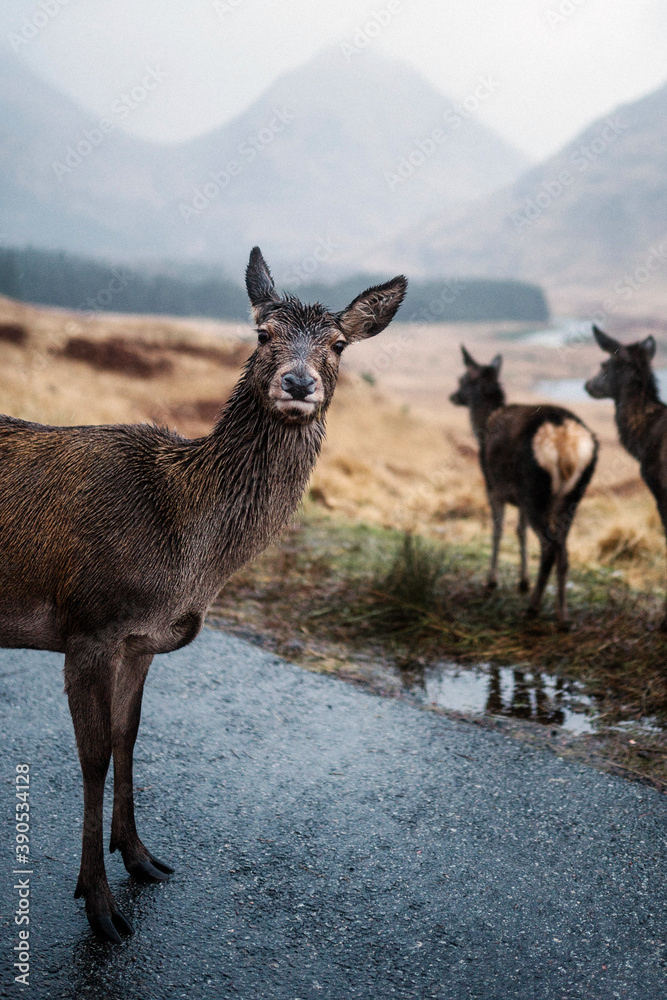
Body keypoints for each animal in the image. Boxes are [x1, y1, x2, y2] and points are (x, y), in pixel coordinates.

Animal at [0, 246, 408, 940]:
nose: (299, 383)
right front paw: (98, 904)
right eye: (263, 333)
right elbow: (92, 758)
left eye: (339, 344)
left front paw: (140, 857)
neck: (187, 555)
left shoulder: (140, 640)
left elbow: (128, 736)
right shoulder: (88, 624)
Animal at [448, 346, 600, 624]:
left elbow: (497, 530)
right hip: (572, 495)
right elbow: (520, 531)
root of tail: (565, 440)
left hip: (535, 490)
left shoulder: (493, 486)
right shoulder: (517, 497)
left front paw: (492, 581)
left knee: (550, 546)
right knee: (563, 550)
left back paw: (533, 607)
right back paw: (562, 615)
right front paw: (522, 582)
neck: (483, 425)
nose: (453, 396)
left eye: (462, 379)